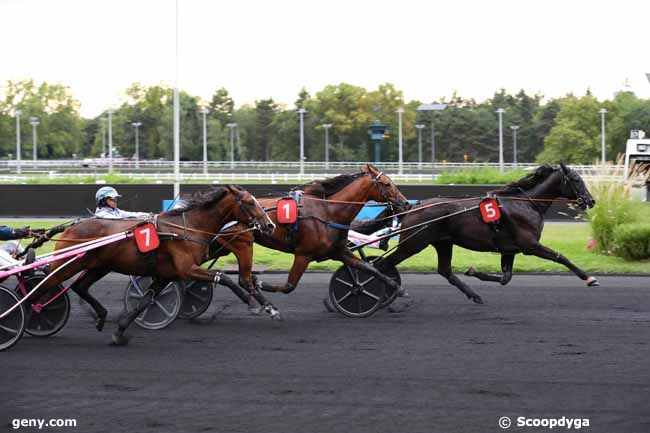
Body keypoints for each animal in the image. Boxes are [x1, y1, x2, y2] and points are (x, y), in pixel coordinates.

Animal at [35, 183, 274, 344]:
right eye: (250, 202)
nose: (270, 225)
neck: (188, 228)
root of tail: (70, 227)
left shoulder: (165, 275)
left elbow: (144, 302)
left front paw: (119, 333)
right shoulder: (187, 269)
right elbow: (223, 277)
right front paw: (251, 301)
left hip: (99, 267)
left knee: (79, 287)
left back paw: (101, 316)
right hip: (67, 264)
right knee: (43, 287)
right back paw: (35, 313)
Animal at [200, 163, 408, 310]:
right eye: (387, 184)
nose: (405, 203)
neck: (328, 212)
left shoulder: (339, 251)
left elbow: (369, 268)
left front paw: (395, 288)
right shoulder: (303, 254)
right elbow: (289, 285)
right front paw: (262, 283)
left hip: (223, 246)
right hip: (242, 243)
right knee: (242, 278)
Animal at [374, 163, 596, 304]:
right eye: (576, 179)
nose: (591, 201)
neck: (527, 203)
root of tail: (412, 207)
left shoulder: (510, 249)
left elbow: (506, 277)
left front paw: (473, 271)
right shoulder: (530, 245)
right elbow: (561, 257)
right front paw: (589, 278)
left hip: (443, 242)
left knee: (445, 271)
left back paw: (474, 295)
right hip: (413, 244)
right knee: (382, 265)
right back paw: (389, 293)